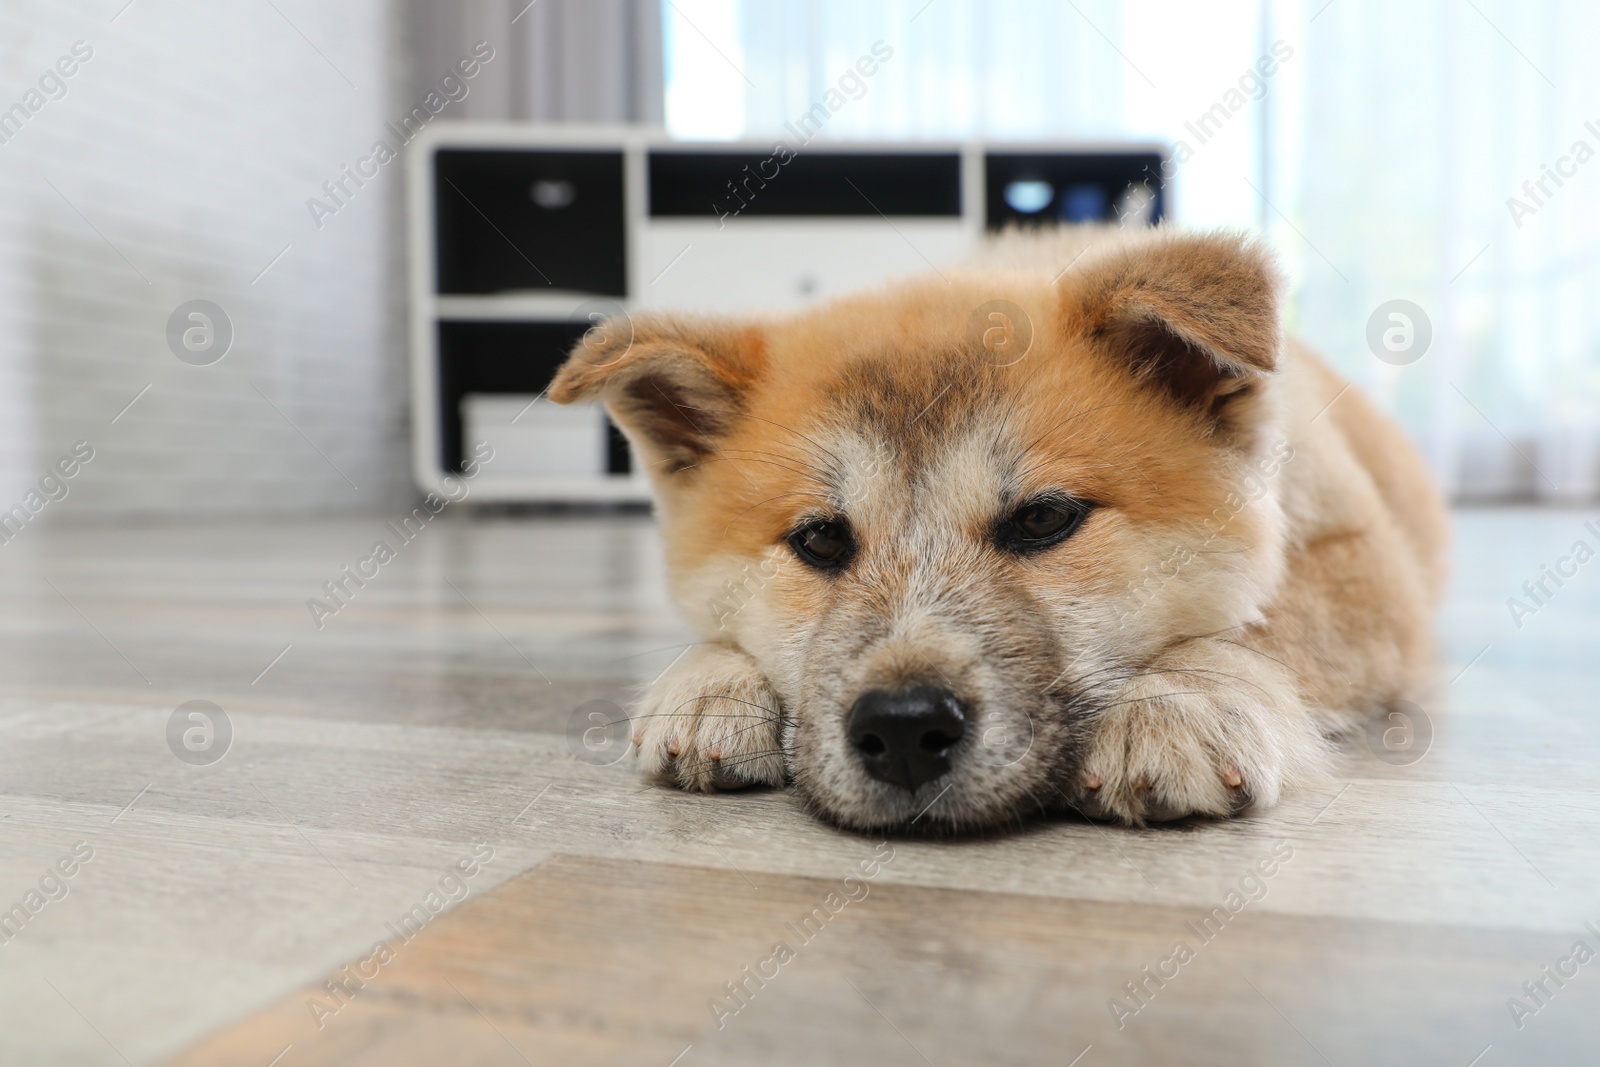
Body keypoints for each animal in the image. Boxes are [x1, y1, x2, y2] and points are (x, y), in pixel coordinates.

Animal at [550, 230, 1452, 831]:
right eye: (821, 541)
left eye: (1044, 519)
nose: (903, 726)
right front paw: (709, 681)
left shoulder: (1361, 568)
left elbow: (1270, 624)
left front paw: (1182, 694)